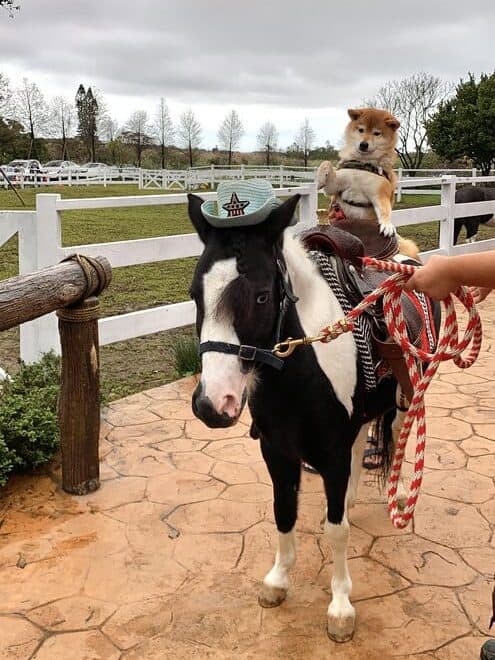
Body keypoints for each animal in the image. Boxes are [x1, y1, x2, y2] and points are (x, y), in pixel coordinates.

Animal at [185, 193, 410, 640]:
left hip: (405, 399)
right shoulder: (278, 452)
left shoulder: (332, 455)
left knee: (399, 438)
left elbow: (336, 531)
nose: (212, 404)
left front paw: (340, 607)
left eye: (260, 296)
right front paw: (277, 581)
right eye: (194, 295)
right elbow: (283, 513)